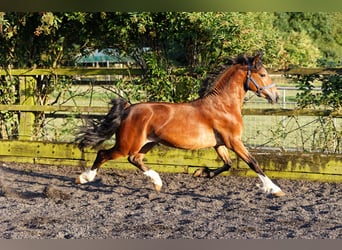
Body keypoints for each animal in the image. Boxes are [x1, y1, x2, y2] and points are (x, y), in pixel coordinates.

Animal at [75, 52, 286, 197]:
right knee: (104, 154)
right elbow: (253, 163)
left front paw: (200, 172)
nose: (275, 96)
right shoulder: (233, 141)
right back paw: (84, 178)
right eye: (263, 74)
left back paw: (157, 182)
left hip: (147, 143)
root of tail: (128, 108)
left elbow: (227, 164)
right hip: (126, 144)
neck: (223, 106)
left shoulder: (220, 144)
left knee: (135, 159)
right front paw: (275, 189)